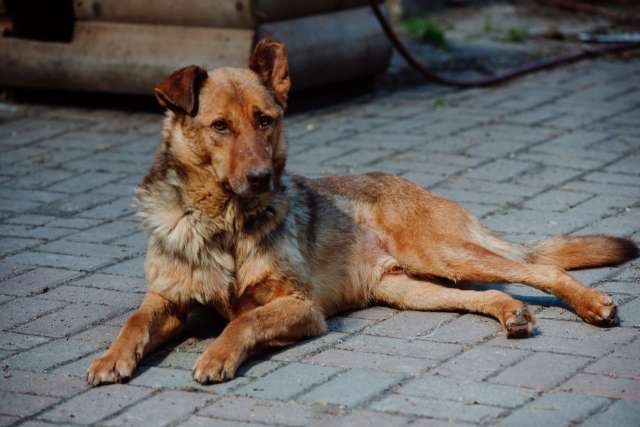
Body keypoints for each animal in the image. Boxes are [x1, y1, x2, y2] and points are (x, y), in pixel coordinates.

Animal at [86, 38, 640, 386]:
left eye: (265, 121)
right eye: (220, 126)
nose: (263, 178)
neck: (222, 222)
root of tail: (413, 185)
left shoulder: (300, 306)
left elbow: (241, 323)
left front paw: (217, 355)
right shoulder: (169, 298)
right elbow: (135, 321)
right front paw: (111, 358)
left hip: (442, 253)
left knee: (539, 270)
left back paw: (592, 304)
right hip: (411, 288)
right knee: (488, 294)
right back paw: (511, 313)